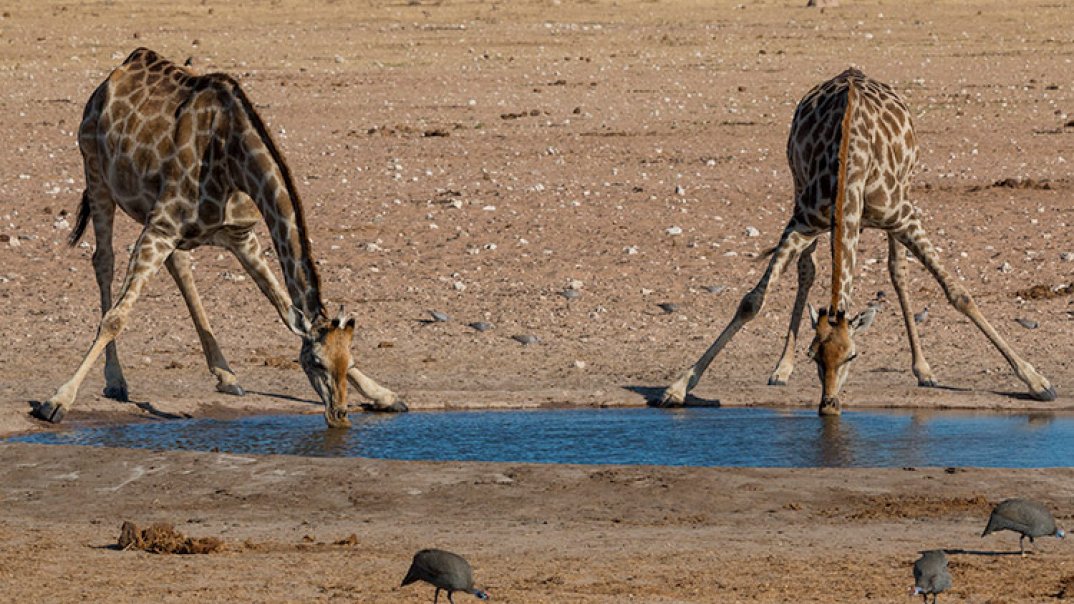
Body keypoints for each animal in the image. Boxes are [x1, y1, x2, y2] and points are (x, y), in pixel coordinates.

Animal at [36, 48, 405, 427]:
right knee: (104, 261)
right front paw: (57, 400)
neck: (234, 159)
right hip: (96, 173)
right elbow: (115, 318)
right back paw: (116, 381)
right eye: (316, 362)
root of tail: (114, 75)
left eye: (348, 361)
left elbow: (285, 308)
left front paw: (384, 394)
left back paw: (226, 375)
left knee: (179, 265)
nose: (339, 416)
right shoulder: (162, 227)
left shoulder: (239, 235)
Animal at [657, 66, 1052, 412]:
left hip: (902, 197)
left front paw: (1037, 381)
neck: (851, 167)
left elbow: (959, 293)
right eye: (814, 356)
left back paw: (924, 370)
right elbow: (752, 301)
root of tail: (852, 71)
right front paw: (678, 386)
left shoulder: (904, 217)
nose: (828, 405)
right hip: (800, 192)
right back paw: (781, 368)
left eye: (853, 355)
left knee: (897, 272)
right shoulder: (802, 222)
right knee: (808, 269)